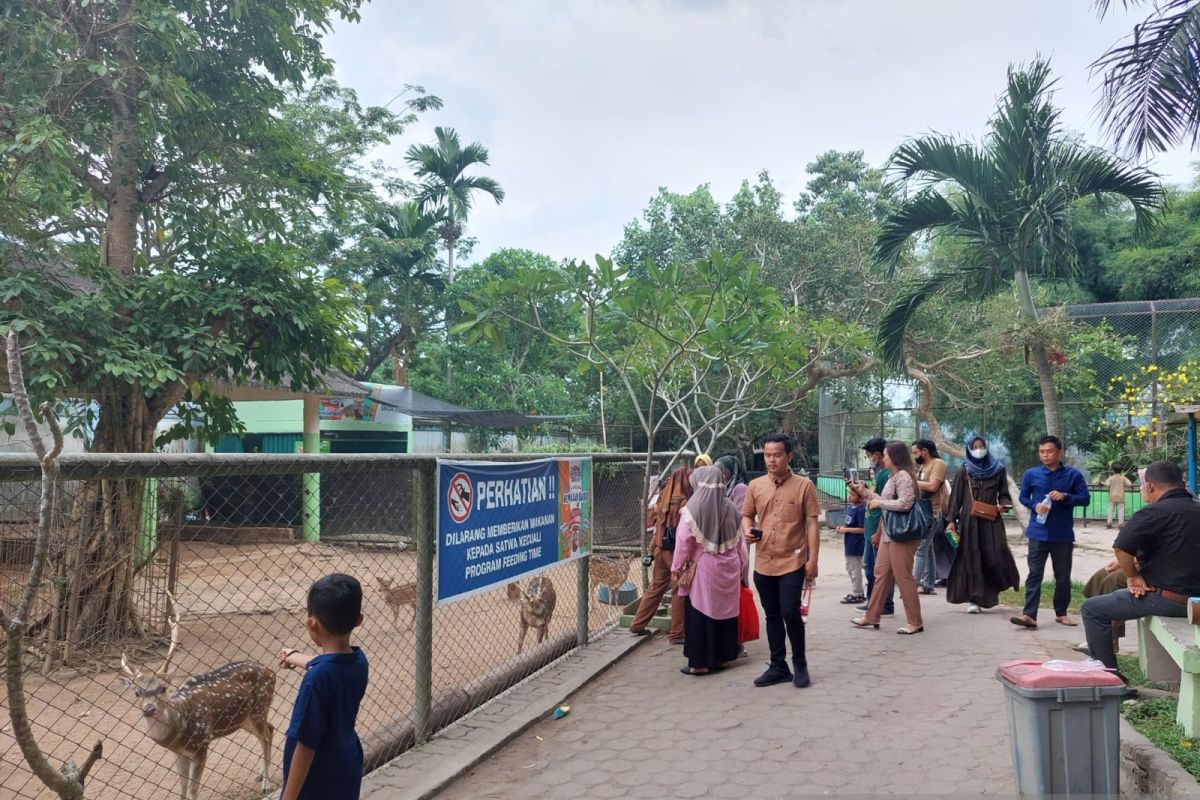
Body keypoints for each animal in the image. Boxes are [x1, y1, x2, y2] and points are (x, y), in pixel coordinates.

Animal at [117, 597, 276, 796]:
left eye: (163, 688)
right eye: (137, 692)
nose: (149, 709)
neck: (178, 730)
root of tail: (272, 672)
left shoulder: (202, 744)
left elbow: (193, 789)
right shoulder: (178, 752)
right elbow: (182, 786)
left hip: (260, 707)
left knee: (267, 734)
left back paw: (267, 784)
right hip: (245, 717)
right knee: (269, 729)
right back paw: (261, 775)